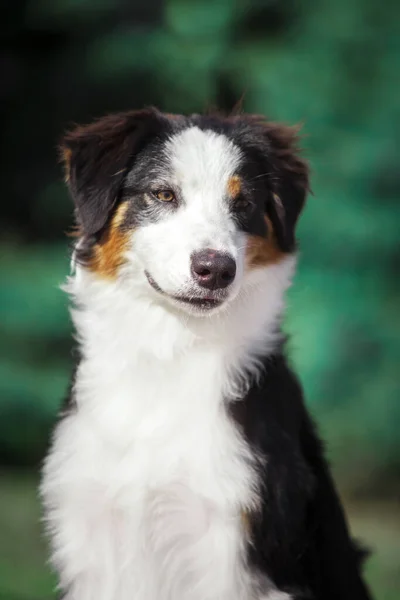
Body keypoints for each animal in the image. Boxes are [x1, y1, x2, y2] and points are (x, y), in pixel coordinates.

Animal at [40, 109, 372, 600]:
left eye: (244, 203)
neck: (171, 352)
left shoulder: (238, 545)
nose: (215, 269)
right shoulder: (94, 533)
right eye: (163, 193)